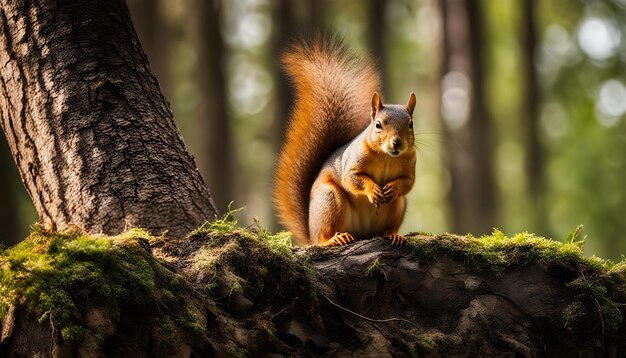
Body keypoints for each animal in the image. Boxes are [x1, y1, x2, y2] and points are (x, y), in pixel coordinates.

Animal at [272, 37, 414, 248]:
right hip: (329, 199)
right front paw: (373, 190)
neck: (387, 157)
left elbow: (407, 182)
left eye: (411, 124)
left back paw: (393, 234)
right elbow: (352, 178)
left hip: (399, 205)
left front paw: (392, 188)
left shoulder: (410, 166)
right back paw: (334, 239)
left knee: (390, 221)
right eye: (378, 124)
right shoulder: (352, 163)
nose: (396, 143)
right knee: (323, 235)